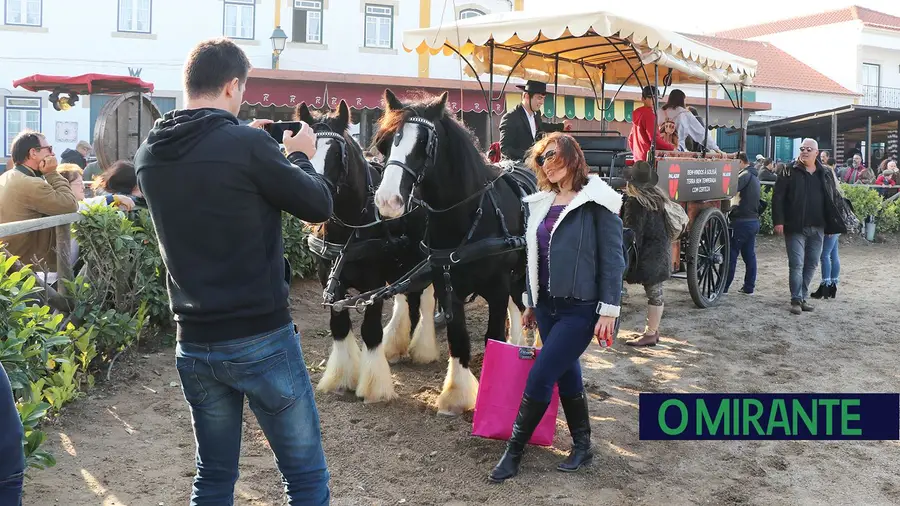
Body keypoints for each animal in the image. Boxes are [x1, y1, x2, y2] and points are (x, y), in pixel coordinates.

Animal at [296, 101, 436, 406]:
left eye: (337, 153)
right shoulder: (330, 282)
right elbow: (339, 326)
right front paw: (342, 378)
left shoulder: (372, 286)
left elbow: (370, 331)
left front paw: (374, 387)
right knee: (409, 298)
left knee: (426, 299)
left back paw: (422, 347)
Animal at [370, 91, 528, 416]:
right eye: (386, 142)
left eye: (424, 143)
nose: (387, 200)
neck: (469, 216)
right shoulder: (447, 286)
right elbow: (458, 338)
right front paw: (456, 395)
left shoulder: (497, 287)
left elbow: (493, 336)